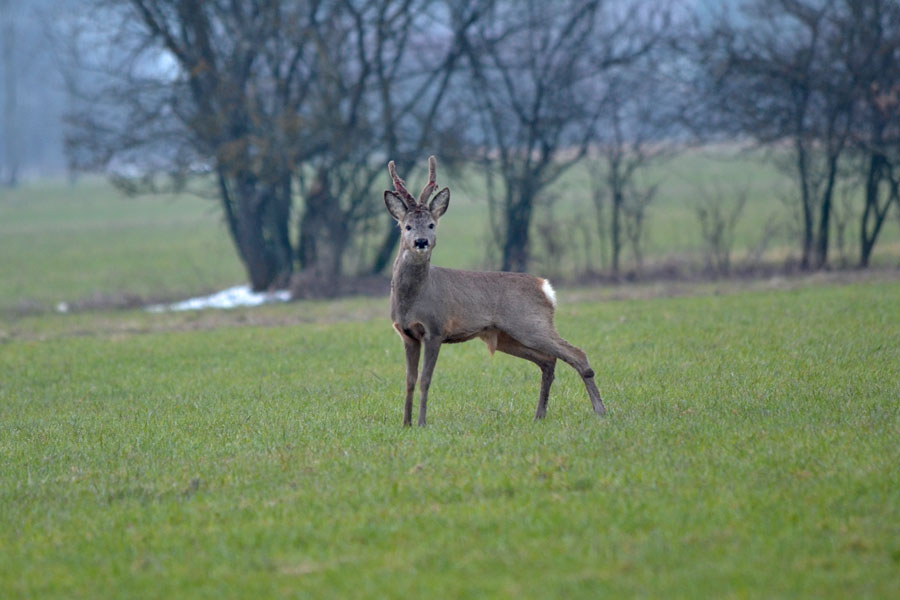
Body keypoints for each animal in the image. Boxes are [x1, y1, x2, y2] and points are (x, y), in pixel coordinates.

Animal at [384, 156, 608, 426]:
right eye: (407, 226)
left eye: (431, 225)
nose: (421, 242)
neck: (413, 299)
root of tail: (545, 287)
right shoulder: (407, 335)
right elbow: (409, 380)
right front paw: (406, 424)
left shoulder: (436, 329)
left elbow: (426, 379)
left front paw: (422, 423)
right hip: (506, 337)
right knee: (548, 360)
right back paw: (539, 415)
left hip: (531, 324)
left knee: (577, 354)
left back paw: (600, 411)